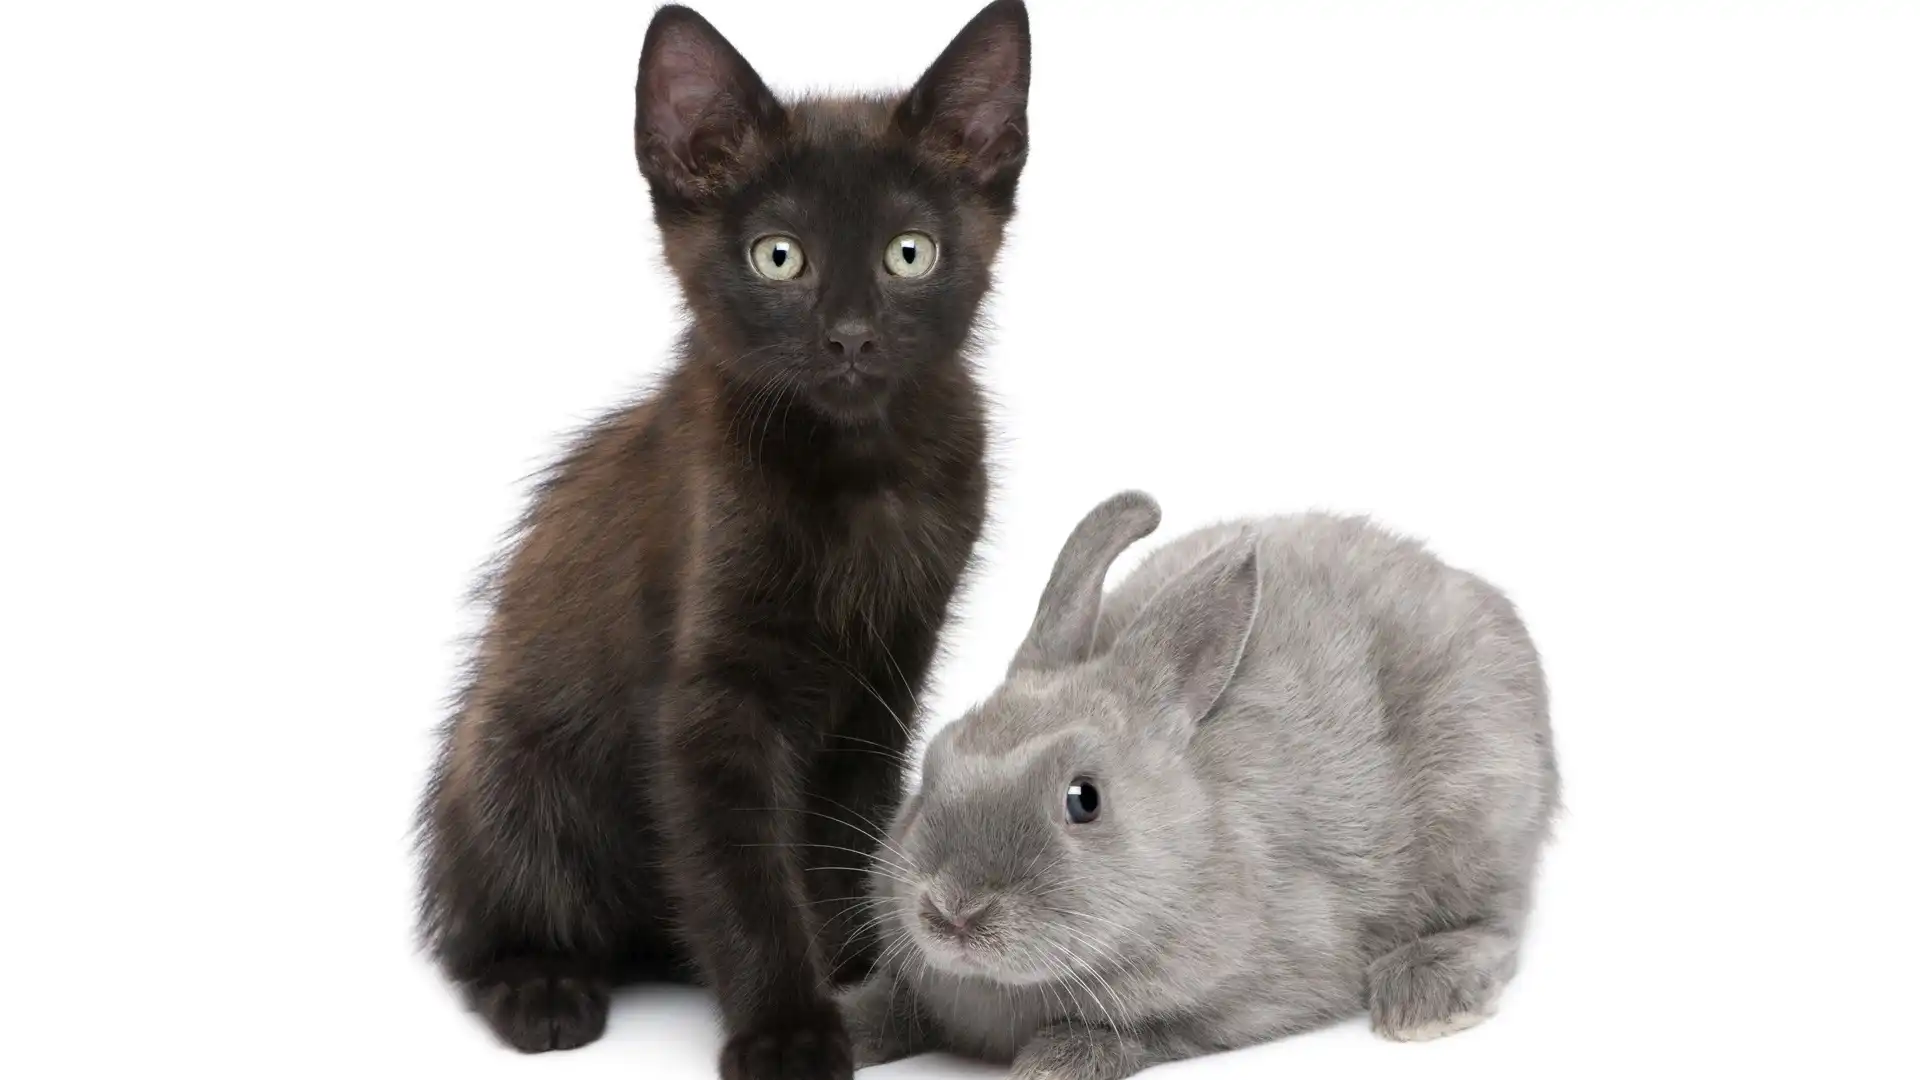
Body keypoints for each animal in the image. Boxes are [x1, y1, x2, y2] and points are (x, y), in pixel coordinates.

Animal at [413, 3, 1030, 1078]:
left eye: (909, 253)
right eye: (778, 257)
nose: (851, 336)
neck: (860, 476)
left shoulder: (886, 679)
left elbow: (845, 828)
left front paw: (873, 968)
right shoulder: (712, 701)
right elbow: (743, 872)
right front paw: (789, 1030)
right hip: (513, 766)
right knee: (479, 924)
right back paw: (541, 986)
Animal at [836, 490, 1558, 1080]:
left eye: (1084, 799)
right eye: (931, 767)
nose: (953, 910)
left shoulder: (1267, 983)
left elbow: (1158, 1028)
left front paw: (1057, 1059)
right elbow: (888, 1006)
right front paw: (837, 1026)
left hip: (1480, 806)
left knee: (1498, 919)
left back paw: (1425, 997)